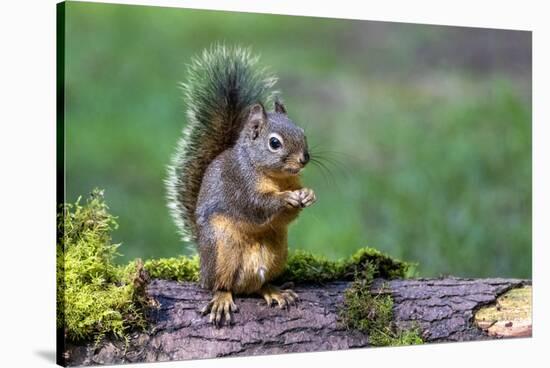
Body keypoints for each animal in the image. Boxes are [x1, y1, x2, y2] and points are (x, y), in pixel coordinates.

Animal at [166, 44, 316, 326]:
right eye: (274, 143)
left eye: (303, 132)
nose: (304, 159)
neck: (275, 176)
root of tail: (202, 263)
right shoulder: (239, 183)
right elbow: (257, 206)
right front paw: (285, 198)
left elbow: (286, 218)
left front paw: (308, 194)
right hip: (221, 250)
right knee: (222, 284)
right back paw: (222, 298)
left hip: (276, 253)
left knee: (257, 285)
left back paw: (274, 290)